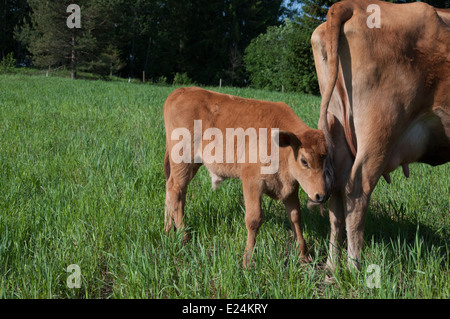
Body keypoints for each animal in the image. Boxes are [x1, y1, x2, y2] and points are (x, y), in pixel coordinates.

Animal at [163, 87, 330, 268]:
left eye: (326, 158)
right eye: (304, 161)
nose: (321, 195)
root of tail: (180, 91)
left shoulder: (290, 187)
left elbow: (295, 217)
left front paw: (303, 256)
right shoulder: (252, 182)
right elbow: (254, 219)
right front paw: (247, 260)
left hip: (190, 164)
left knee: (173, 190)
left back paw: (168, 229)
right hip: (183, 160)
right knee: (176, 191)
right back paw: (183, 236)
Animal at [312, 0, 448, 272]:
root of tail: (351, 5)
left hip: (337, 128)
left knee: (337, 197)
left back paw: (332, 268)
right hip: (380, 130)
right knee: (356, 190)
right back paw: (355, 268)